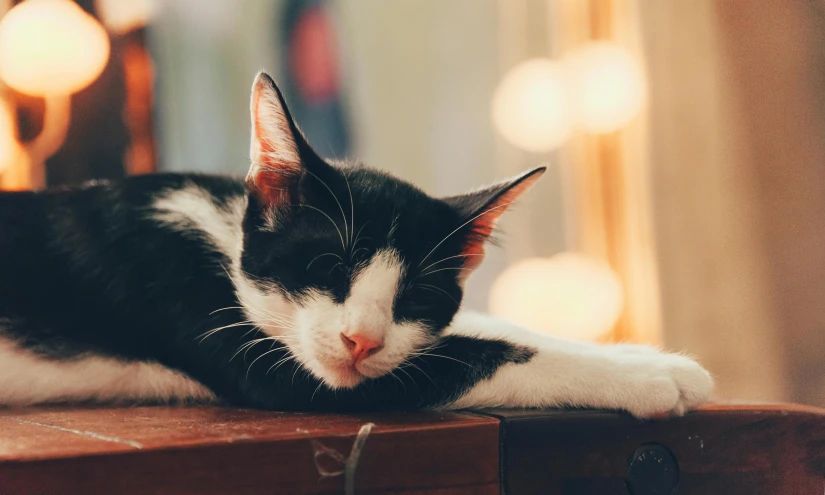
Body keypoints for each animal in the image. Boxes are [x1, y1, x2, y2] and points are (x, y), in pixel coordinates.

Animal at [0, 71, 712, 416]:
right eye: (325, 265)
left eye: (416, 297)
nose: (361, 340)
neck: (221, 233)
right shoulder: (192, 301)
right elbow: (462, 358)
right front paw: (651, 377)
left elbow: (471, 330)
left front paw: (636, 352)